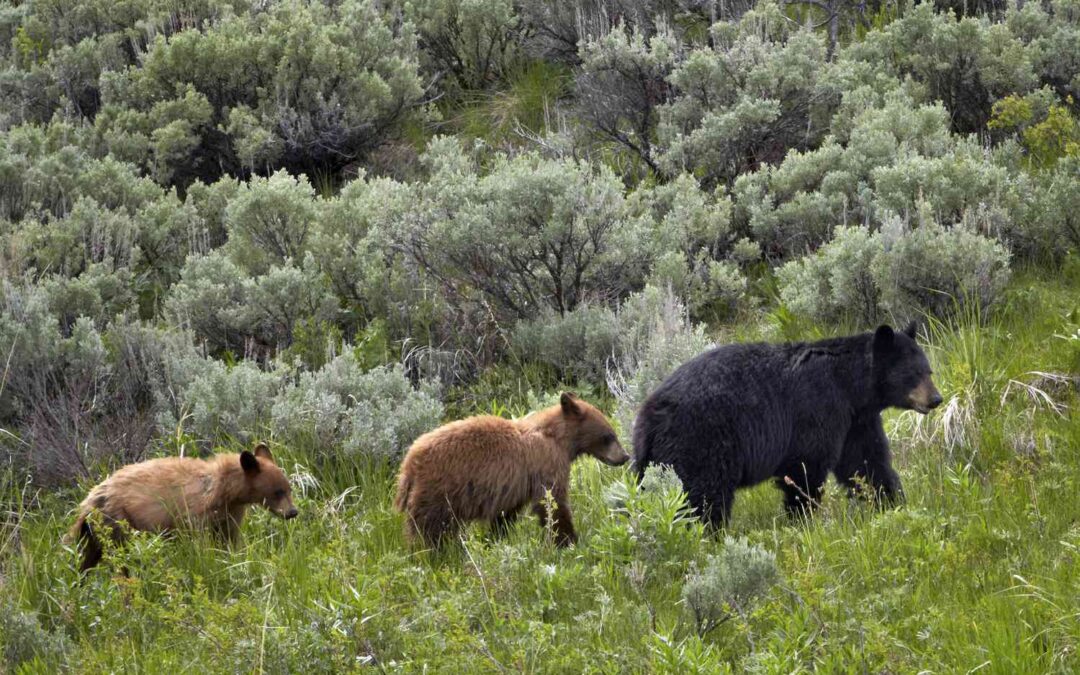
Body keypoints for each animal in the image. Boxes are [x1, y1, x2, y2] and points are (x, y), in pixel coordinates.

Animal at [68, 442, 298, 573]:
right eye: (278, 491)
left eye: (289, 488)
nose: (292, 512)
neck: (224, 490)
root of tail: (89, 500)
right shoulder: (196, 512)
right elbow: (201, 543)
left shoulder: (230, 514)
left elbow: (229, 541)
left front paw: (234, 561)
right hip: (117, 521)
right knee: (119, 557)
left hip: (94, 532)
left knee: (87, 560)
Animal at [394, 392, 630, 548]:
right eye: (609, 435)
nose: (625, 456)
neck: (558, 438)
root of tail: (409, 462)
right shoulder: (547, 462)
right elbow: (552, 502)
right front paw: (568, 541)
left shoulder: (513, 487)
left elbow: (505, 514)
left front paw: (495, 539)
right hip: (438, 492)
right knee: (428, 528)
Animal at [633, 322, 942, 526]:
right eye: (914, 374)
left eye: (929, 370)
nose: (936, 399)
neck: (850, 386)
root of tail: (649, 417)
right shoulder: (818, 408)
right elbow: (805, 467)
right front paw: (802, 520)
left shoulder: (856, 422)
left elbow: (866, 463)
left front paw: (890, 503)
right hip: (700, 443)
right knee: (702, 496)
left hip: (655, 459)